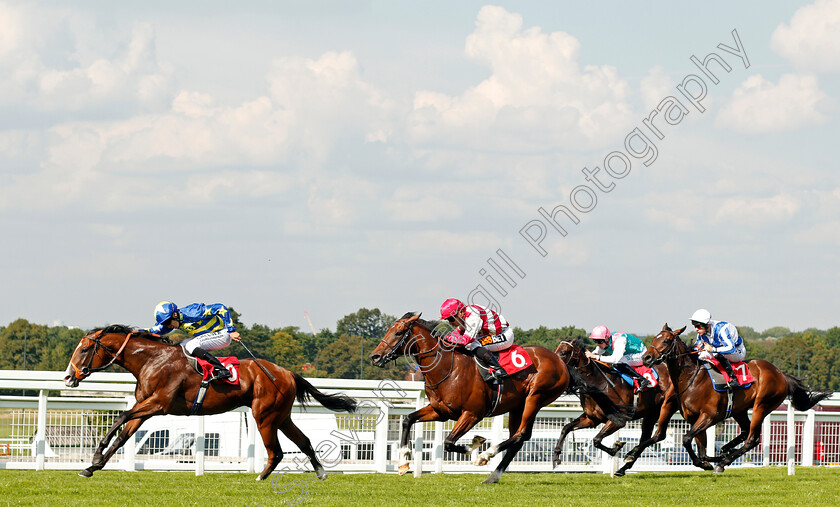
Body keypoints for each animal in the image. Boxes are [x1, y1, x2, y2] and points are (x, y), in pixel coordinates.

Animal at [62, 326, 356, 480]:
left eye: (85, 349)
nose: (67, 377)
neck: (152, 360)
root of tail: (286, 372)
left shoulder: (159, 404)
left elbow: (121, 418)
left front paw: (96, 455)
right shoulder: (146, 408)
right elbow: (124, 433)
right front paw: (92, 466)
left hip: (264, 417)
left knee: (277, 451)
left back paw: (260, 477)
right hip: (282, 416)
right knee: (303, 441)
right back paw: (320, 472)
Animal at [370, 314, 620, 484]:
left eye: (399, 333)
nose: (375, 356)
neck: (448, 368)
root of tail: (562, 362)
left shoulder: (472, 414)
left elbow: (450, 442)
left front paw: (476, 445)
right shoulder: (441, 411)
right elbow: (408, 420)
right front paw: (403, 463)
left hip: (535, 397)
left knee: (521, 434)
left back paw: (486, 456)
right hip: (518, 405)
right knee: (518, 438)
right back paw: (493, 475)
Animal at [552, 340, 684, 478]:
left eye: (564, 352)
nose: (555, 365)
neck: (599, 384)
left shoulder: (619, 419)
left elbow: (596, 440)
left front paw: (616, 447)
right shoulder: (591, 419)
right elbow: (566, 428)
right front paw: (556, 457)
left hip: (666, 407)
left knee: (659, 435)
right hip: (651, 413)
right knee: (645, 437)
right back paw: (624, 466)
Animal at [648, 326, 832, 472]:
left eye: (666, 340)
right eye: (654, 338)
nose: (646, 357)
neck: (692, 377)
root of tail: (781, 374)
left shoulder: (709, 416)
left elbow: (687, 439)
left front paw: (706, 463)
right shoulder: (694, 418)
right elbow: (699, 448)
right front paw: (706, 461)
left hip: (761, 405)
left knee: (752, 439)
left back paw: (723, 462)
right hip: (739, 410)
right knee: (745, 431)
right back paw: (724, 452)